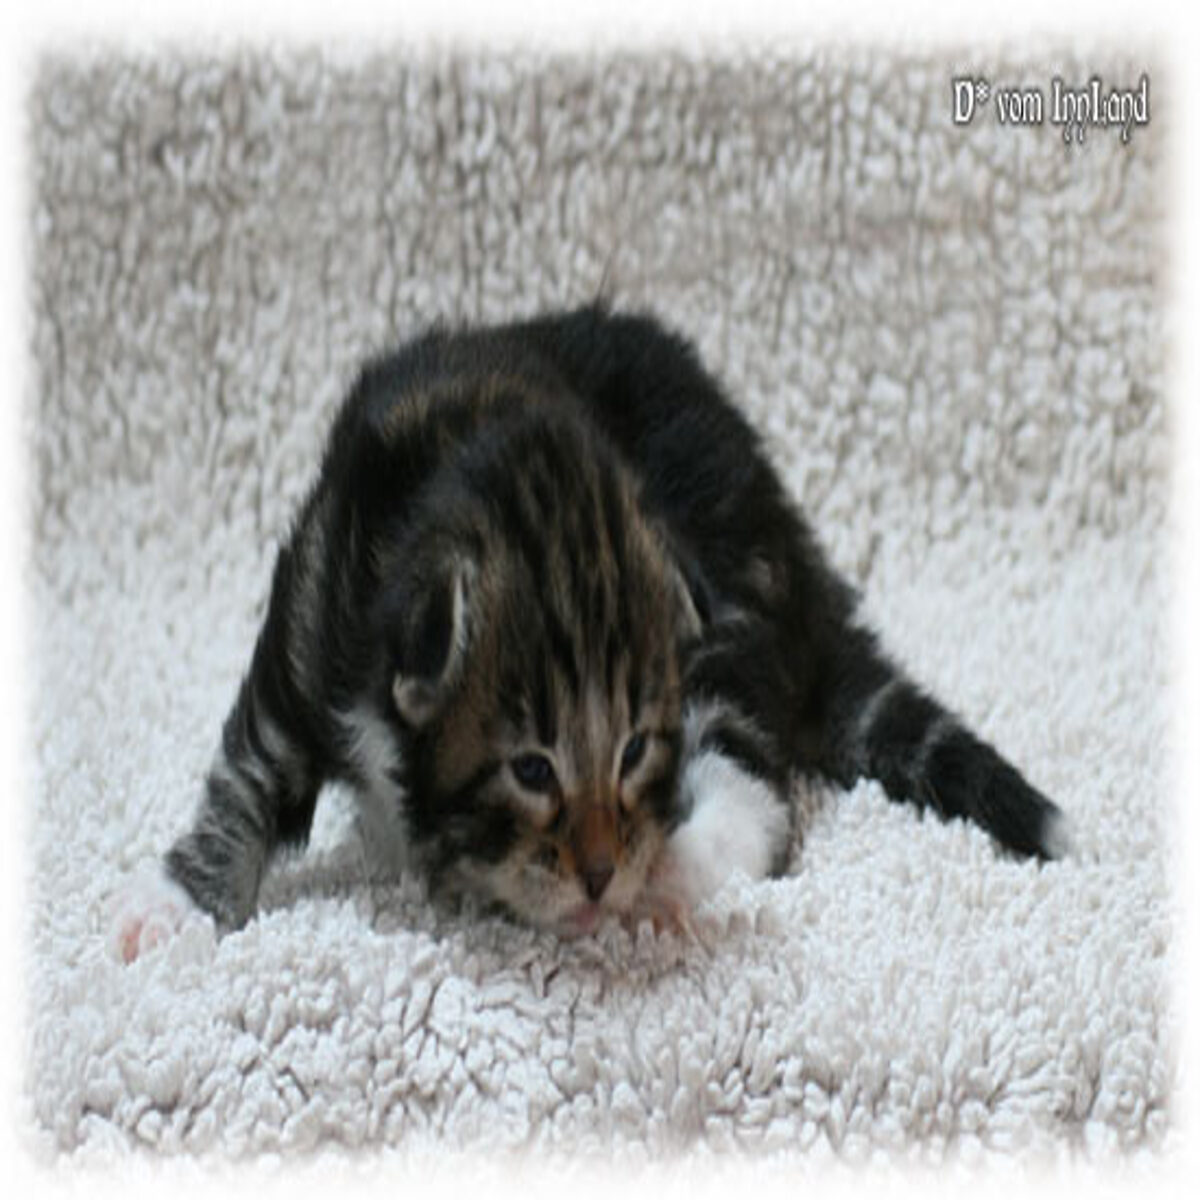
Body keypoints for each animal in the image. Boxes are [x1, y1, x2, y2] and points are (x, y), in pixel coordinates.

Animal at [112, 303, 1069, 960]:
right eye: (533, 769)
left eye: (633, 752)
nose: (603, 874)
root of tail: (800, 559)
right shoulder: (313, 607)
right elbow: (248, 771)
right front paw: (179, 904)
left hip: (729, 615)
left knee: (754, 785)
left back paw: (673, 873)